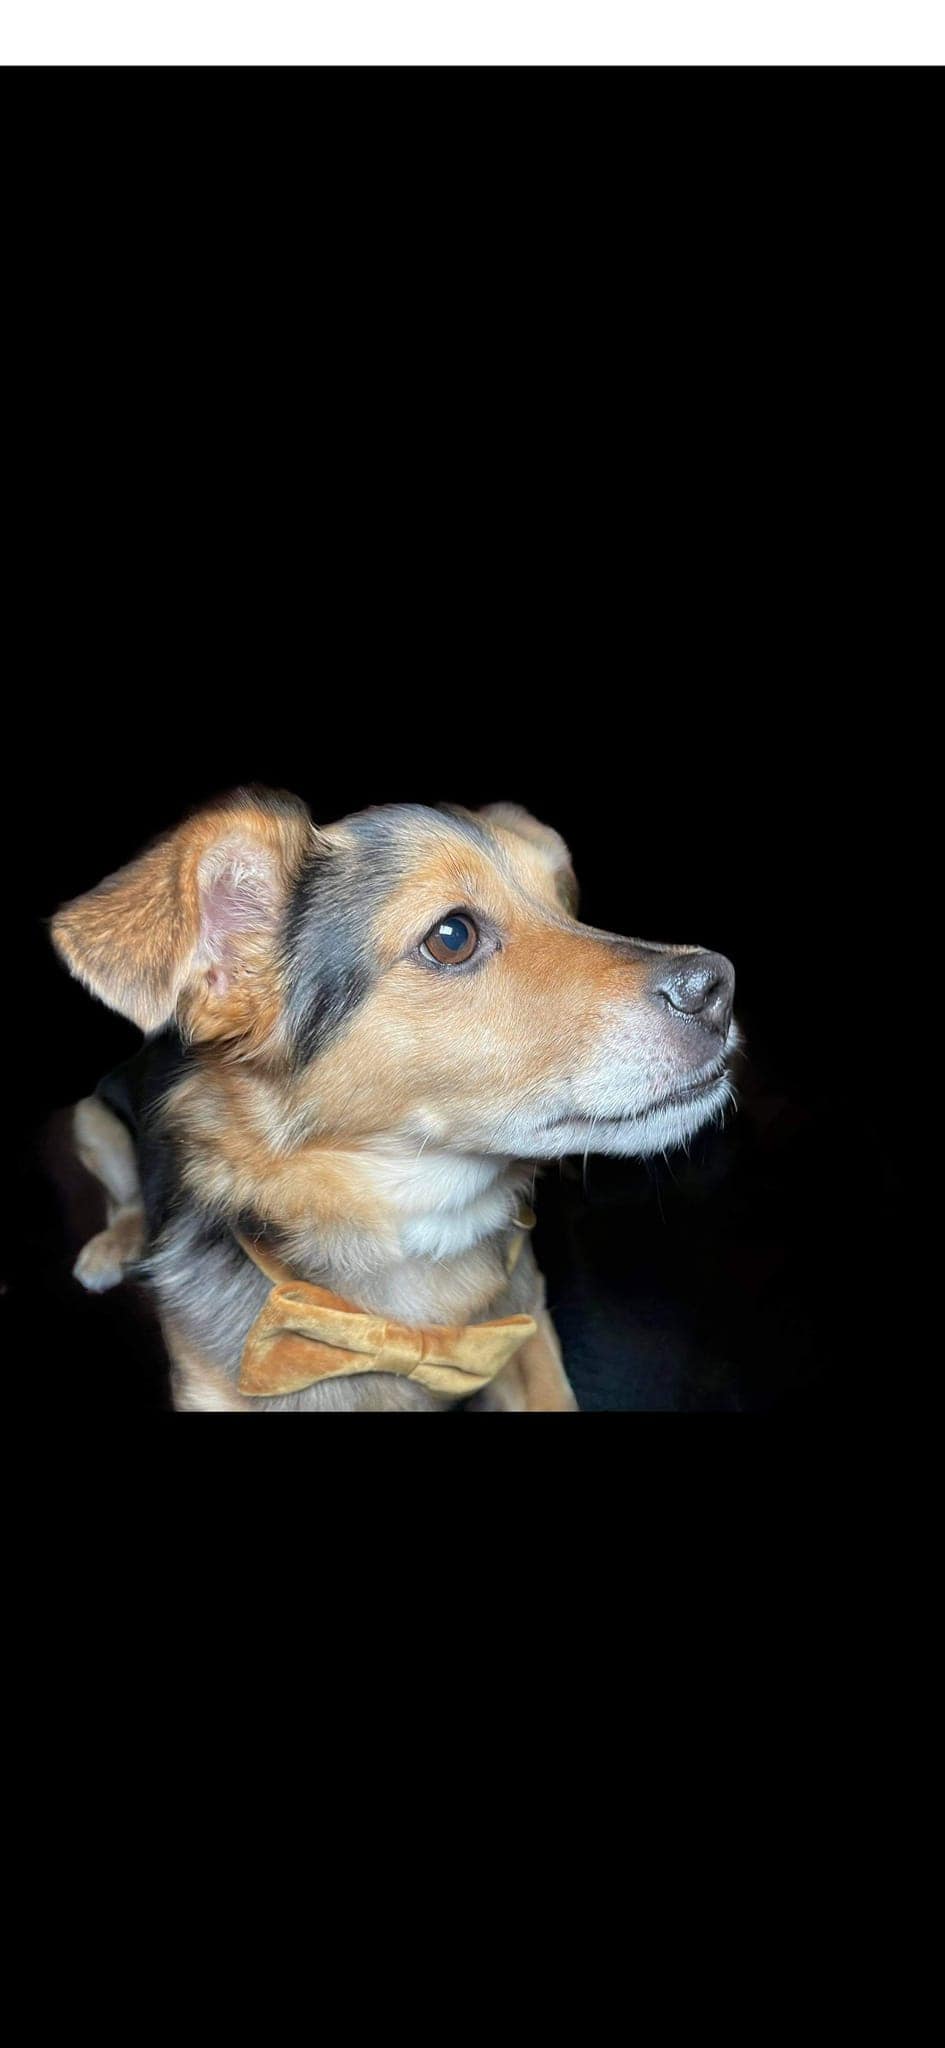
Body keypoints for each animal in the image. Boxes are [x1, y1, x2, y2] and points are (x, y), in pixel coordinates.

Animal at [51, 790, 737, 1411]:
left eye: (567, 907)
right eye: (452, 936)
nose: (717, 988)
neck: (415, 1222)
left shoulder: (527, 1327)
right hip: (89, 1119)